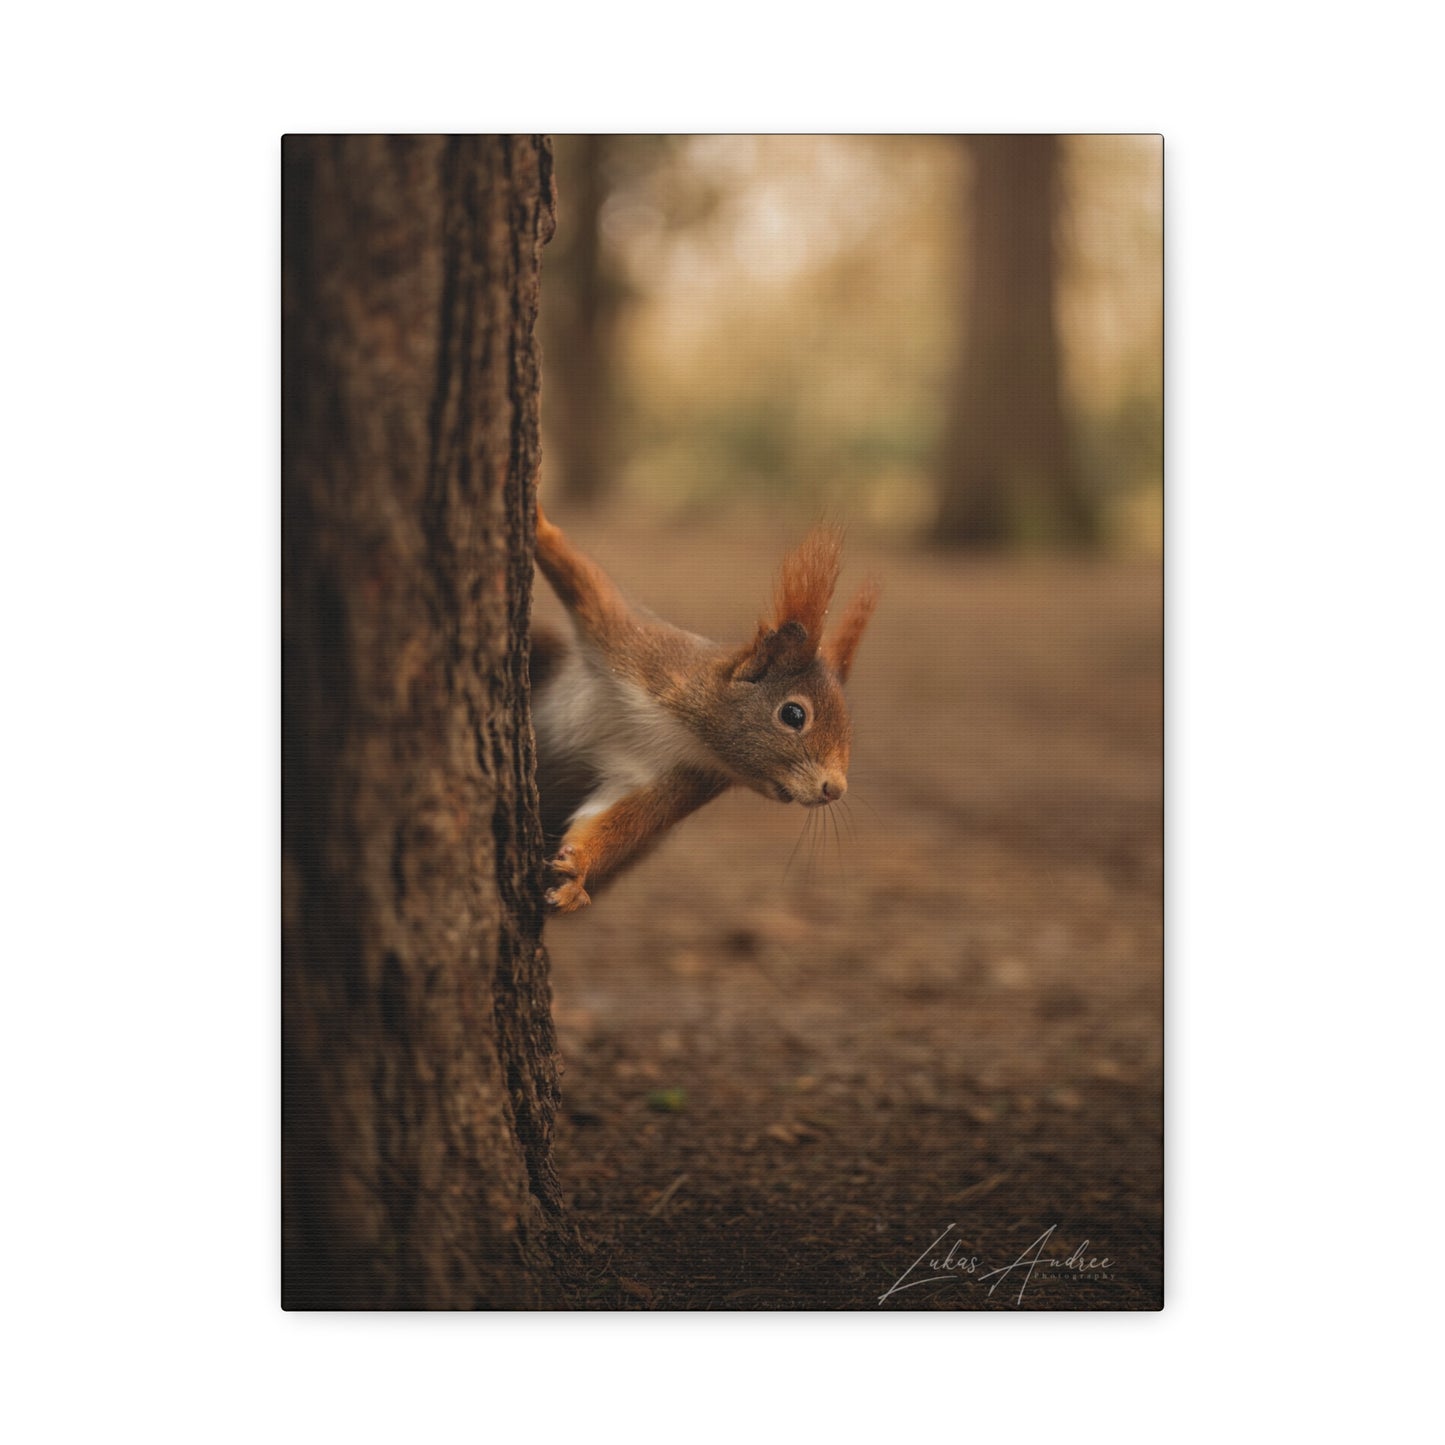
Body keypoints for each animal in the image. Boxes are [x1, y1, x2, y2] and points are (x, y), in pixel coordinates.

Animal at [530, 501, 878, 912]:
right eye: (793, 714)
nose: (835, 789)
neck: (685, 729)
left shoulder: (680, 778)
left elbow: (617, 822)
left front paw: (576, 872)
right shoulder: (636, 647)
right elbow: (583, 579)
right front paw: (538, 521)